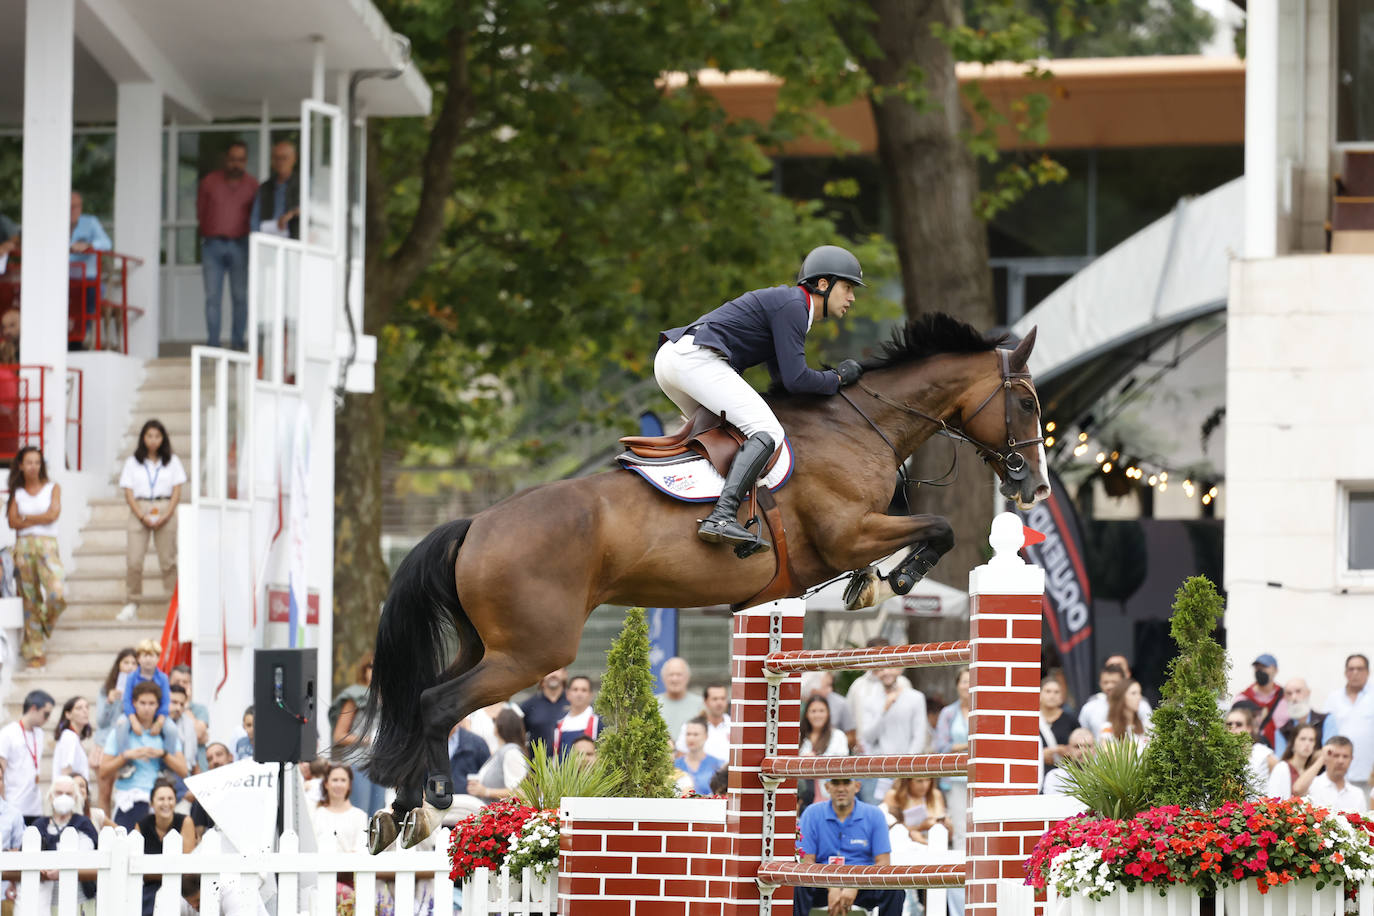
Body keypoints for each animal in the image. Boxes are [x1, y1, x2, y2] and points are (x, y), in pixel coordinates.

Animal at [357, 313, 1049, 851]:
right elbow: (937, 528)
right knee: (435, 704)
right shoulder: (849, 533)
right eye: (1027, 403)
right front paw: (892, 579)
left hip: (491, 645)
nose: (1035, 488)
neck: (859, 425)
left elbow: (923, 529)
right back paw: (432, 801)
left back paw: (399, 811)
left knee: (425, 700)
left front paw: (872, 584)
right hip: (532, 650)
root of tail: (476, 523)